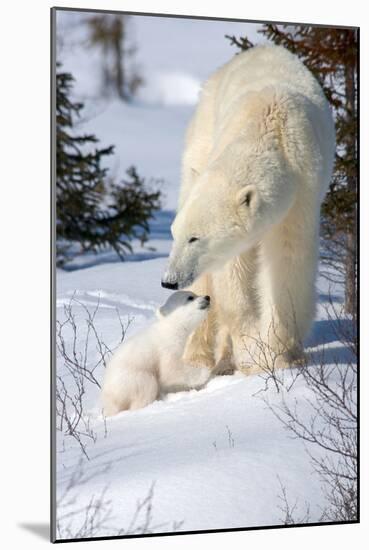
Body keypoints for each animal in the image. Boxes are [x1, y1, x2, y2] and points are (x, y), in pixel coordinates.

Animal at [161, 46, 334, 376]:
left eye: (194, 238)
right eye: (175, 234)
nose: (169, 280)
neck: (270, 127)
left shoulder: (302, 193)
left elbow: (287, 261)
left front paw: (278, 354)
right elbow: (234, 274)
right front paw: (252, 351)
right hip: (202, 136)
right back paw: (200, 357)